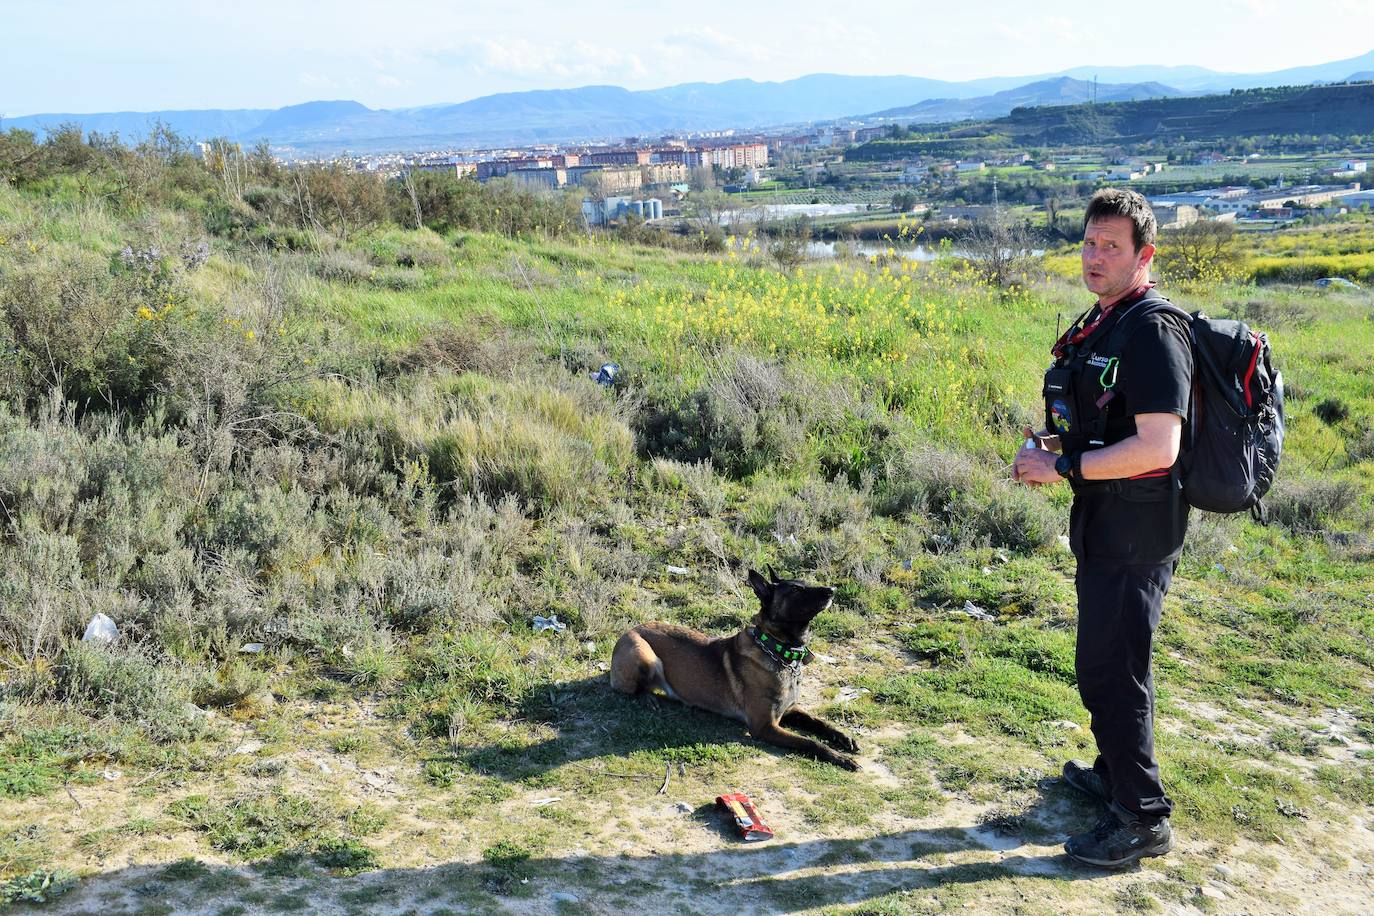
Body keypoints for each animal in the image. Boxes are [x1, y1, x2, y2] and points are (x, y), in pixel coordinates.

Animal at [610, 568, 857, 769]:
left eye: (805, 582)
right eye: (796, 590)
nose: (832, 590)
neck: (778, 650)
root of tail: (628, 631)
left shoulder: (788, 710)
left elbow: (818, 722)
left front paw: (844, 738)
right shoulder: (764, 726)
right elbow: (809, 741)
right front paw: (840, 757)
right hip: (646, 655)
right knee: (631, 689)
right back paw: (648, 698)